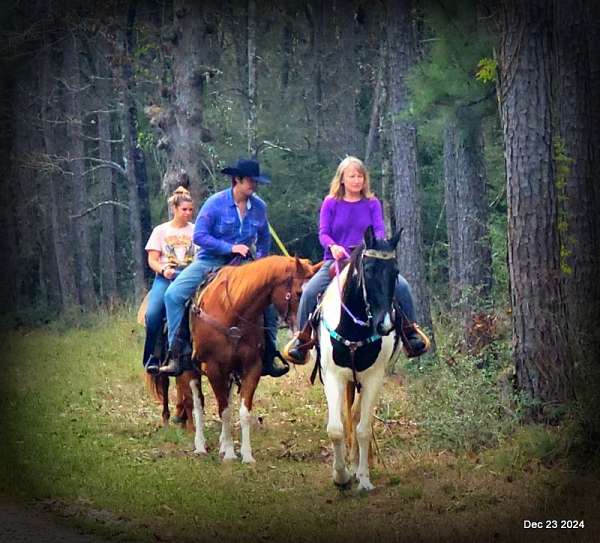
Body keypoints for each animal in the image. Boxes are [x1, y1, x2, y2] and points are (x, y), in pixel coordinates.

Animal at [186, 258, 322, 462]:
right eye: (299, 293)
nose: (306, 341)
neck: (231, 309)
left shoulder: (252, 367)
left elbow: (243, 411)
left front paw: (246, 454)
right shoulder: (213, 369)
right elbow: (224, 411)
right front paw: (230, 453)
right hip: (192, 369)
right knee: (198, 401)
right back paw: (201, 445)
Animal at [316, 225, 400, 492]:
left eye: (396, 272)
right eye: (369, 270)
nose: (385, 325)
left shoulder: (374, 378)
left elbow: (363, 428)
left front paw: (363, 476)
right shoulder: (333, 377)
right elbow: (336, 429)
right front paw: (340, 476)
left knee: (359, 416)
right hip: (349, 379)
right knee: (348, 414)